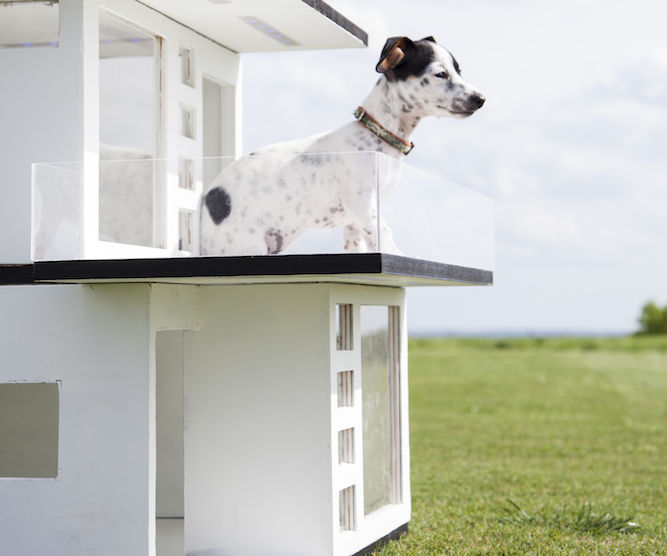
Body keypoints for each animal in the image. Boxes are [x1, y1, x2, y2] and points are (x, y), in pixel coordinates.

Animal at [198, 35, 486, 258]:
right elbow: (385, 232)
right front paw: (397, 252)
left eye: (459, 70)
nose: (481, 98)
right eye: (440, 74)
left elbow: (360, 240)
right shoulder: (363, 203)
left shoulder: (357, 217)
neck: (378, 135)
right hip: (245, 245)